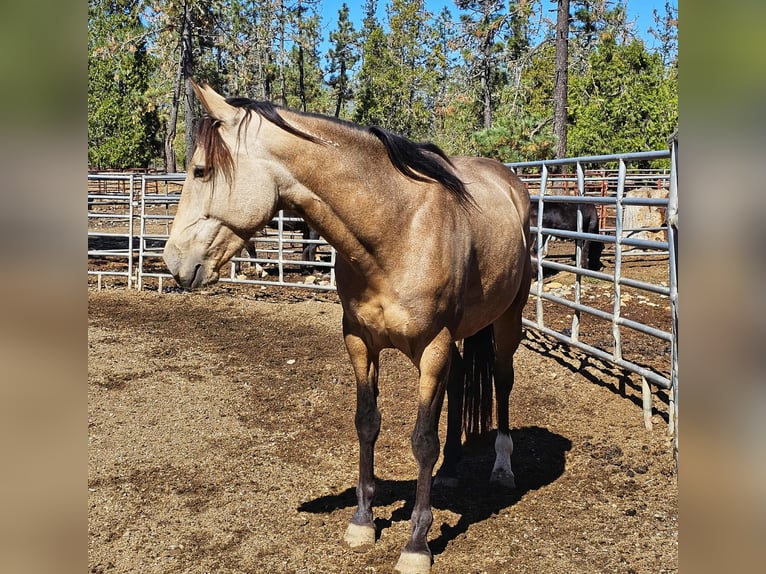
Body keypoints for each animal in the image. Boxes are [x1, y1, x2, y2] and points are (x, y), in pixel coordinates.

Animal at [163, 82, 532, 574]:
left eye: (200, 170)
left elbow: (422, 441)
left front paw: (417, 543)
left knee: (502, 381)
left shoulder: (431, 347)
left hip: (508, 320)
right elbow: (367, 423)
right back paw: (452, 470)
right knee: (457, 387)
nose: (172, 260)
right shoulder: (360, 341)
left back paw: (503, 468)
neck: (397, 229)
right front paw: (362, 521)